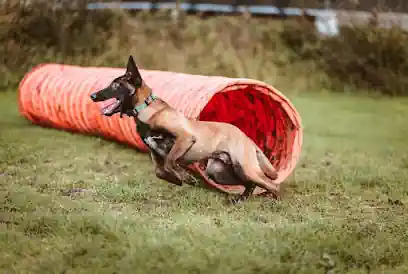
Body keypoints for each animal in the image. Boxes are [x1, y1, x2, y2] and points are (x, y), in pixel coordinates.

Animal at [90, 55, 280, 202]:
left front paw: (186, 177)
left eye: (115, 86)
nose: (92, 95)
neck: (147, 109)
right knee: (251, 184)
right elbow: (160, 171)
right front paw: (179, 179)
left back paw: (274, 202)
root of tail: (247, 138)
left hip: (245, 168)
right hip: (219, 172)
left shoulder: (185, 138)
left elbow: (170, 161)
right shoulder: (156, 155)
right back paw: (241, 199)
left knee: (272, 185)